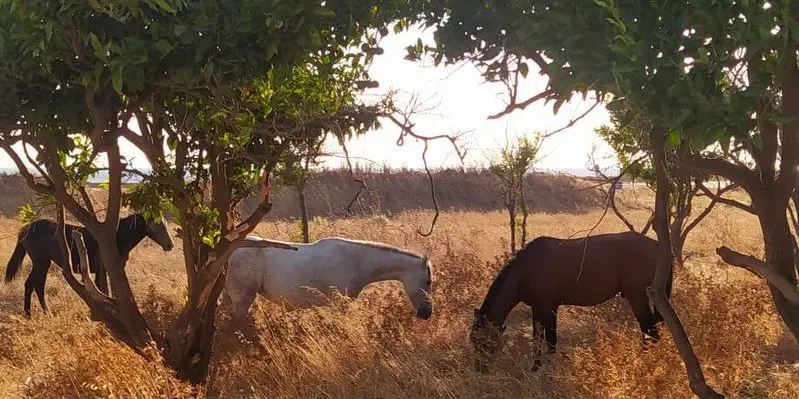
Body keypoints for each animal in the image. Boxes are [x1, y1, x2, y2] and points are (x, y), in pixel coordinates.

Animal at [3, 214, 173, 318]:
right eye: (155, 224)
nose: (170, 245)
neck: (115, 238)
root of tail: (27, 228)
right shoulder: (103, 270)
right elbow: (103, 289)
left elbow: (109, 290)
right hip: (42, 263)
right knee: (37, 286)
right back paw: (41, 313)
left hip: (41, 263)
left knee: (31, 285)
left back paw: (31, 314)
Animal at [472, 233, 672, 374]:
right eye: (473, 340)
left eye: (483, 342)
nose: (480, 370)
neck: (527, 269)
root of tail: (658, 246)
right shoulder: (543, 308)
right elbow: (543, 339)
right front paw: (540, 367)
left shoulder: (547, 307)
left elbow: (546, 339)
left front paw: (544, 369)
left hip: (637, 296)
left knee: (650, 331)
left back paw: (643, 362)